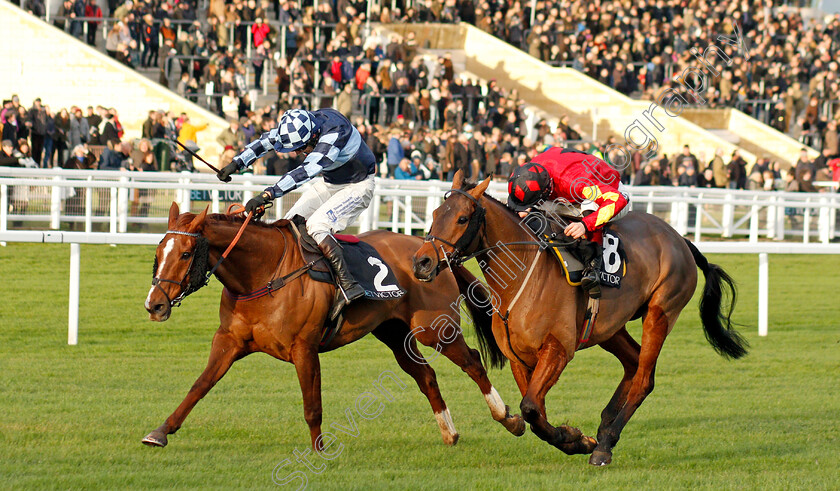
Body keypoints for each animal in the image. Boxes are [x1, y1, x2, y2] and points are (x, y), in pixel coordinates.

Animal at [144, 203, 524, 450]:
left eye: (186, 253)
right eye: (159, 250)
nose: (154, 304)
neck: (264, 273)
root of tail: (431, 250)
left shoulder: (304, 348)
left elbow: (312, 404)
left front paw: (318, 450)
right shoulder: (229, 341)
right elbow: (200, 385)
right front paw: (161, 431)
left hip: (434, 328)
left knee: (473, 361)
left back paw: (508, 417)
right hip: (394, 333)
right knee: (426, 375)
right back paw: (449, 432)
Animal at [410, 173, 744, 466]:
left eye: (462, 218)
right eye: (435, 213)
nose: (421, 262)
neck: (521, 278)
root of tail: (680, 239)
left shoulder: (558, 349)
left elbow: (530, 409)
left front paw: (575, 439)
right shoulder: (519, 357)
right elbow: (536, 412)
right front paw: (576, 438)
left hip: (660, 313)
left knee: (644, 379)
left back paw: (605, 444)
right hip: (608, 327)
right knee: (633, 362)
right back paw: (605, 428)